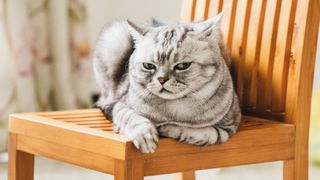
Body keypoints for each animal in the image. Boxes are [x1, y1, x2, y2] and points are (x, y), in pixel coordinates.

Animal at [94, 13, 241, 153]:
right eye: (148, 66)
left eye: (183, 66)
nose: (162, 79)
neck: (173, 111)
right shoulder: (121, 105)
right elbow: (132, 118)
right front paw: (145, 136)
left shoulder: (229, 127)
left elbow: (206, 133)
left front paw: (167, 128)